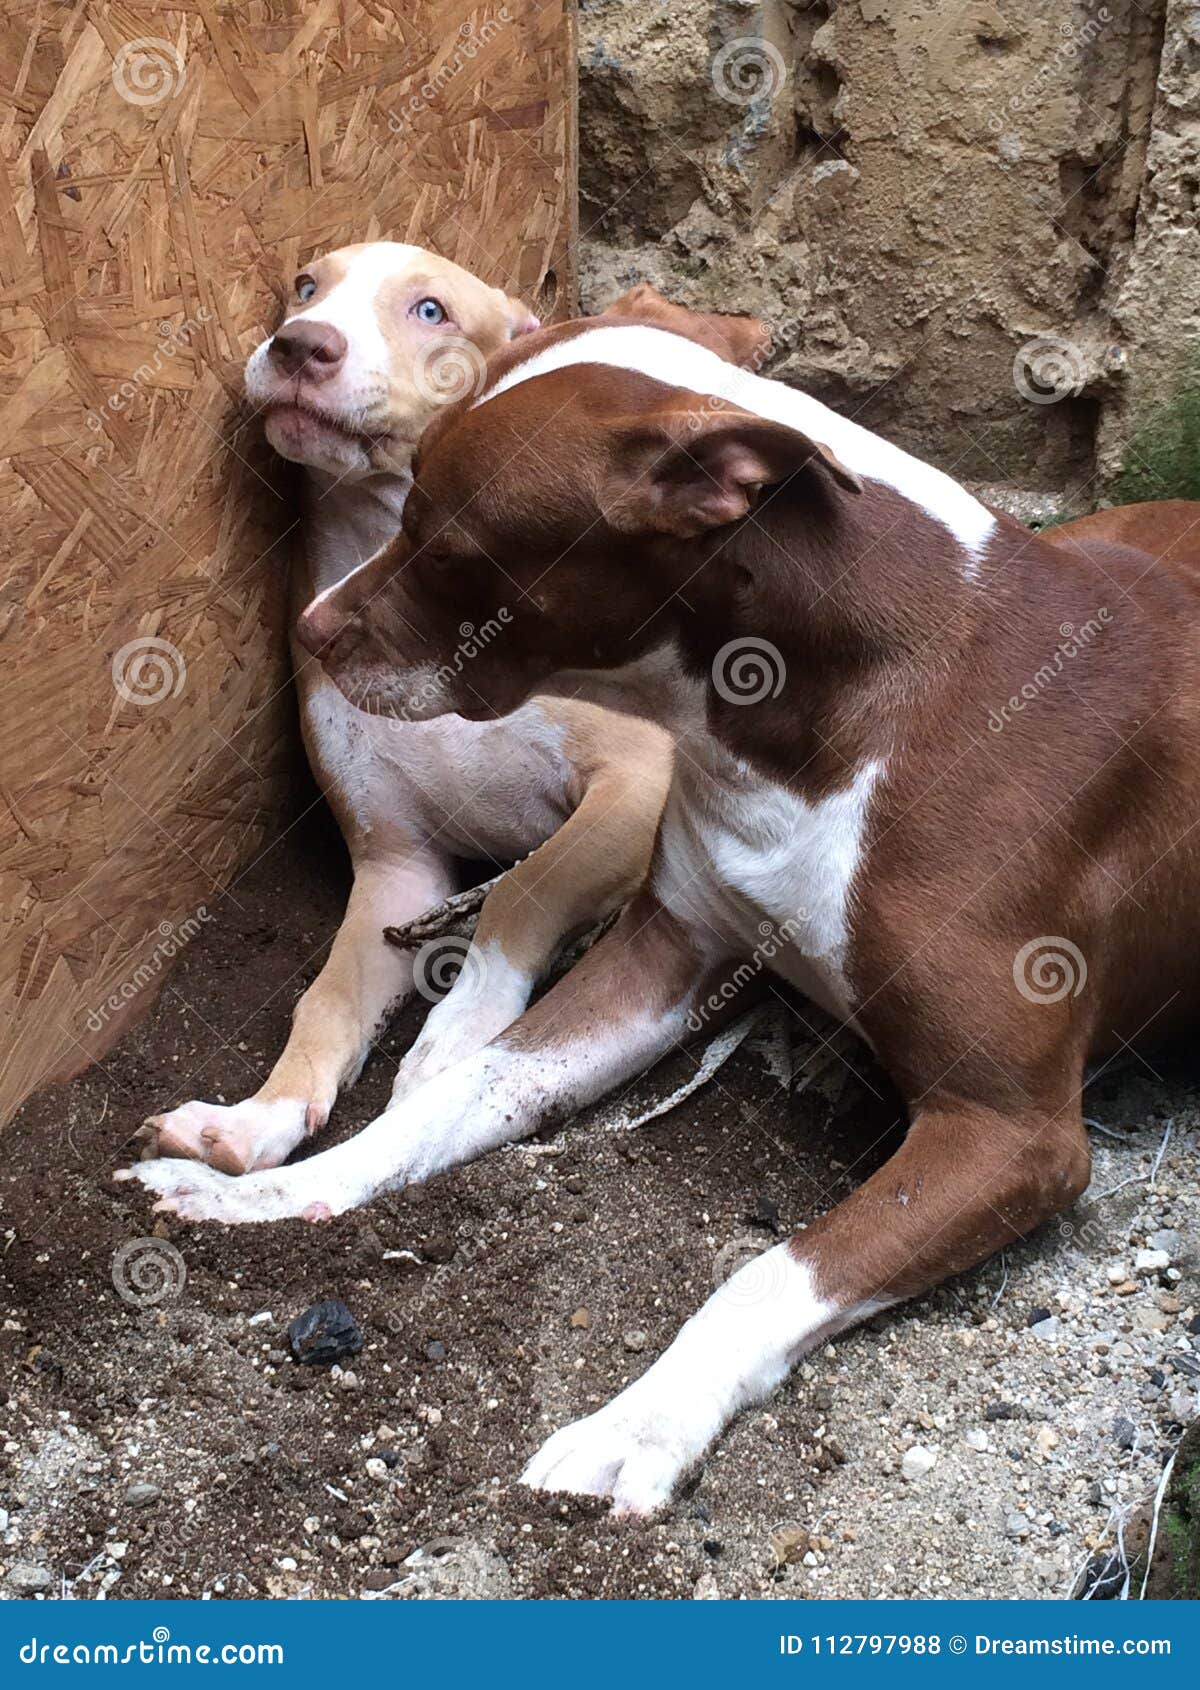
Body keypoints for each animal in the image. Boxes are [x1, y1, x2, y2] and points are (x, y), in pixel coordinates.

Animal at [124, 314, 1200, 1521]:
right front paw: (268, 1193)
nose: (309, 632)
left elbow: (768, 1272)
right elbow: (452, 1098)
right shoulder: (662, 955)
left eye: (446, 546)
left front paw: (637, 1423)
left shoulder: (1009, 1130)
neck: (819, 717)